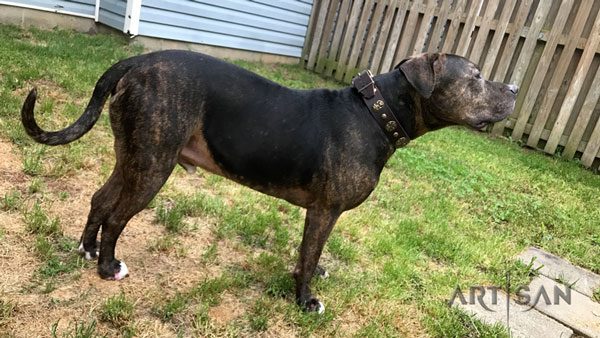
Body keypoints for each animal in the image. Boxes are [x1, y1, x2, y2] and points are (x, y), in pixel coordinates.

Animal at [21, 51, 516, 312]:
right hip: (152, 167)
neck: (378, 112)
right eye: (475, 78)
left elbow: (312, 253)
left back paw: (87, 250)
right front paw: (306, 300)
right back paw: (108, 266)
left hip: (132, 158)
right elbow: (308, 254)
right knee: (117, 216)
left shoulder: (323, 213)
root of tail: (139, 59)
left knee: (101, 199)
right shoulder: (324, 210)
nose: (512, 89)